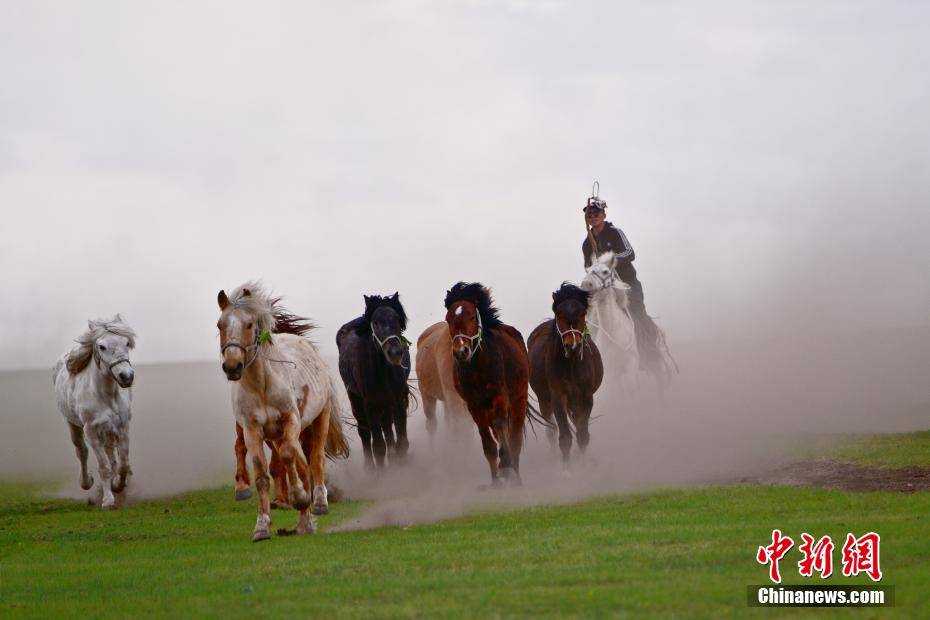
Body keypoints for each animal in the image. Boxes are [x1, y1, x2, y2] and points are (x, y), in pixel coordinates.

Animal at [54, 314, 136, 508]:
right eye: (102, 346)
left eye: (126, 343)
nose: (126, 376)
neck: (105, 395)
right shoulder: (91, 431)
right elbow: (103, 467)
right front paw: (108, 500)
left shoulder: (123, 427)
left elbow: (123, 464)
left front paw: (118, 485)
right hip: (73, 425)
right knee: (81, 451)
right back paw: (86, 481)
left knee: (111, 454)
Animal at [216, 284, 350, 540]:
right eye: (220, 325)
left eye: (249, 324)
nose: (232, 366)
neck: (262, 385)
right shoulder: (252, 430)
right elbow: (261, 475)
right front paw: (261, 527)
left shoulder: (291, 420)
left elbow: (289, 456)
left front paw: (300, 497)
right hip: (276, 436)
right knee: (301, 466)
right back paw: (304, 523)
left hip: (319, 418)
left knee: (315, 459)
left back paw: (319, 502)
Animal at [334, 294, 406, 468]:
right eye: (375, 322)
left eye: (397, 319)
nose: (395, 352)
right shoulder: (370, 406)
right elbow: (378, 446)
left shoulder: (398, 400)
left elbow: (401, 442)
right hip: (356, 400)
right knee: (364, 432)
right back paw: (369, 468)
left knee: (387, 427)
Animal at [444, 280, 528, 484]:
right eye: (448, 319)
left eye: (472, 316)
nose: (461, 351)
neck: (478, 367)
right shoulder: (474, 404)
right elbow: (487, 440)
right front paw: (496, 480)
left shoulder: (500, 395)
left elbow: (501, 426)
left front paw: (505, 463)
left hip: (519, 399)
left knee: (515, 436)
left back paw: (515, 475)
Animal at [524, 284, 604, 468]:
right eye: (559, 314)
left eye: (582, 313)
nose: (572, 346)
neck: (572, 365)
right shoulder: (558, 396)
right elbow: (565, 436)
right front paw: (566, 470)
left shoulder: (586, 397)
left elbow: (582, 433)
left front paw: (582, 464)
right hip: (544, 399)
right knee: (551, 429)